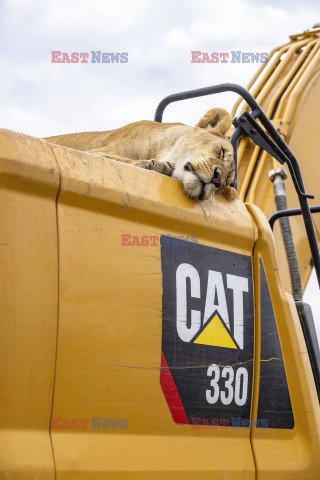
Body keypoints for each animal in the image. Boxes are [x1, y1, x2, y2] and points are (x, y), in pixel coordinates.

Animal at [45, 107, 236, 201]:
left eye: (225, 184)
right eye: (221, 151)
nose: (217, 179)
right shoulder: (90, 152)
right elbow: (118, 160)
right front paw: (156, 165)